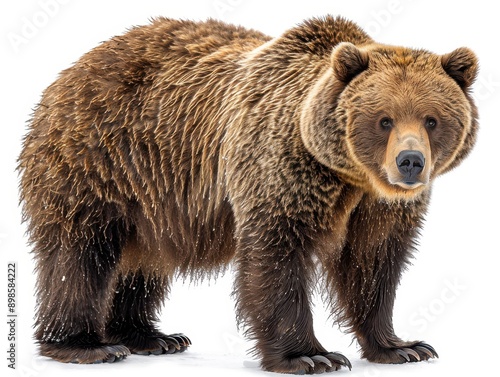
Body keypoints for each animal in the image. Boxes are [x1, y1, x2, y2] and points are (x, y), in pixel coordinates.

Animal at [17, 15, 478, 374]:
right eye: (384, 120)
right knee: (80, 253)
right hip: (99, 162)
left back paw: (150, 336)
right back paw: (87, 345)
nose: (410, 162)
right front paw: (311, 356)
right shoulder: (280, 166)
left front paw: (403, 346)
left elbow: (373, 261)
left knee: (143, 260)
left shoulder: (377, 206)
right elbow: (277, 253)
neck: (349, 175)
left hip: (153, 195)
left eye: (432, 119)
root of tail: (69, 72)